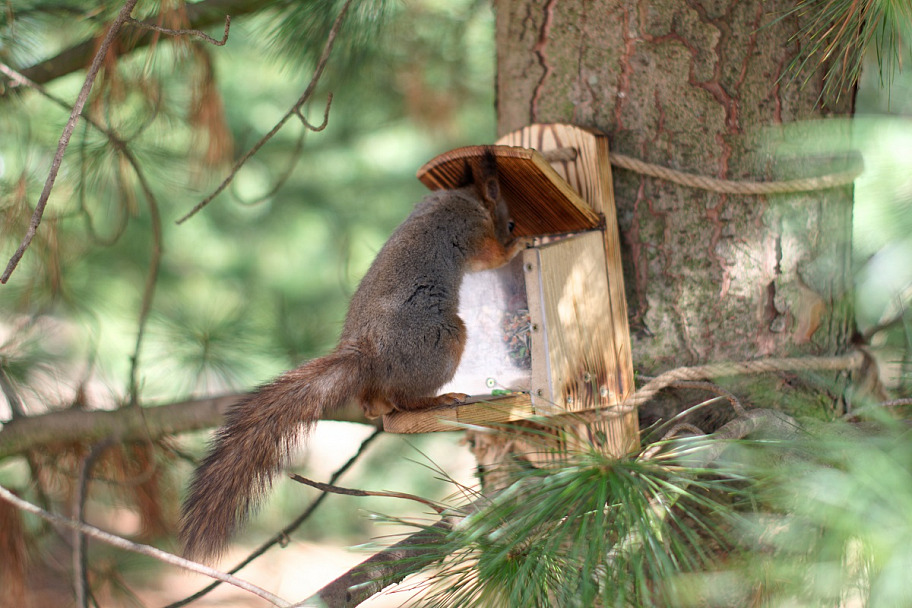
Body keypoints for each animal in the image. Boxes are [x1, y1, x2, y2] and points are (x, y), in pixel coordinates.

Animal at [180, 148, 520, 560]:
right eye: (509, 219)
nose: (517, 227)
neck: (465, 196)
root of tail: (368, 352)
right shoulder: (473, 231)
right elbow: (493, 256)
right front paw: (520, 245)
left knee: (378, 403)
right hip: (444, 339)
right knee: (405, 400)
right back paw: (438, 398)